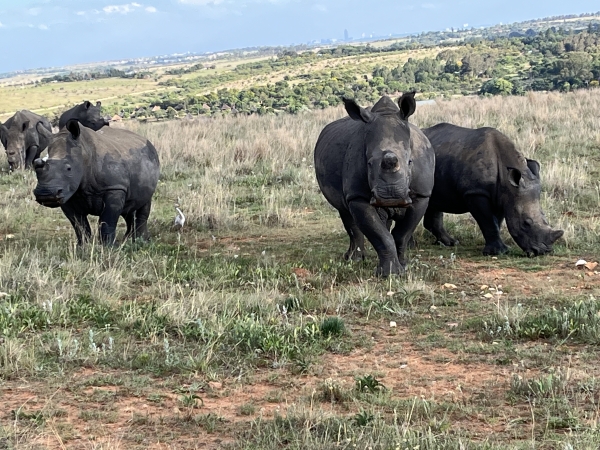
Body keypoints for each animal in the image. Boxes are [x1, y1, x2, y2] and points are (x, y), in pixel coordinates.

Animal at [314, 94, 436, 276]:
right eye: (369, 163)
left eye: (410, 162)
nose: (391, 196)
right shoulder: (357, 196)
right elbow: (381, 236)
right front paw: (389, 274)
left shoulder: (422, 194)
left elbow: (401, 234)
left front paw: (403, 267)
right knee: (347, 216)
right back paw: (353, 259)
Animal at [422, 123, 564, 256]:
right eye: (526, 223)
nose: (542, 252)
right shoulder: (476, 192)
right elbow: (488, 220)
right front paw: (498, 252)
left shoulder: (503, 196)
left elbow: (496, 221)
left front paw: (498, 250)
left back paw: (449, 243)